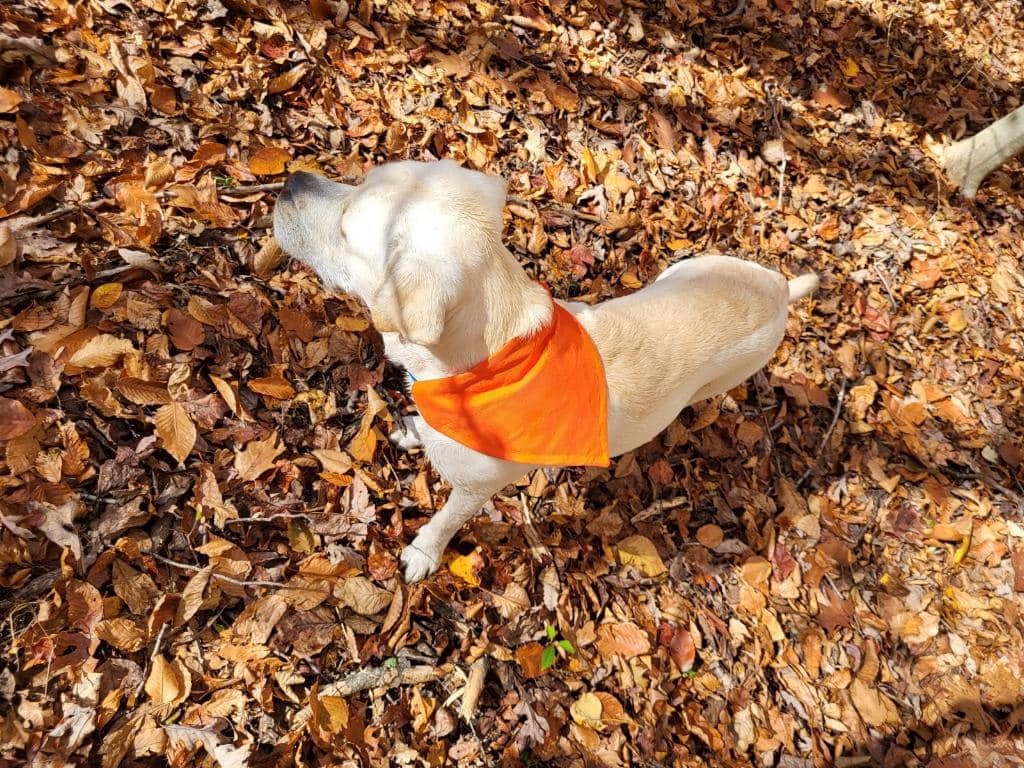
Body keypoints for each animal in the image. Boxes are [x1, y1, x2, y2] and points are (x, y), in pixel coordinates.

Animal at [272, 162, 815, 581]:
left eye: (346, 228)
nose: (291, 179)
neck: (484, 362)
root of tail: (780, 286)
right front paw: (414, 431)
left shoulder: (473, 490)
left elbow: (445, 520)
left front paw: (424, 552)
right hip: (682, 268)